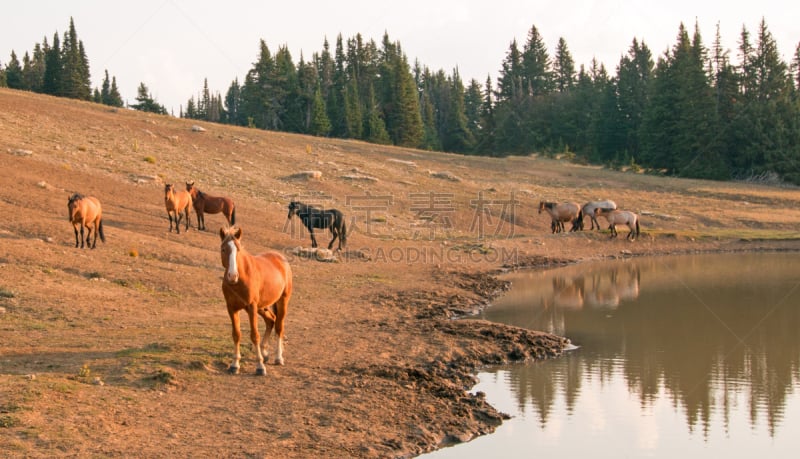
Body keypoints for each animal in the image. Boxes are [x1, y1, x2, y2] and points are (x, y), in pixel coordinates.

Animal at [219, 228, 294, 376]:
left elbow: (254, 335)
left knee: (279, 326)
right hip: (262, 307)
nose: (232, 276)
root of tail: (280, 258)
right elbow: (236, 334)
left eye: (238, 249)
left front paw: (260, 367)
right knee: (271, 320)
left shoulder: (251, 307)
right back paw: (265, 352)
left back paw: (278, 357)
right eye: (223, 249)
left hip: (282, 301)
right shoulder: (231, 308)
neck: (240, 280)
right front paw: (234, 364)